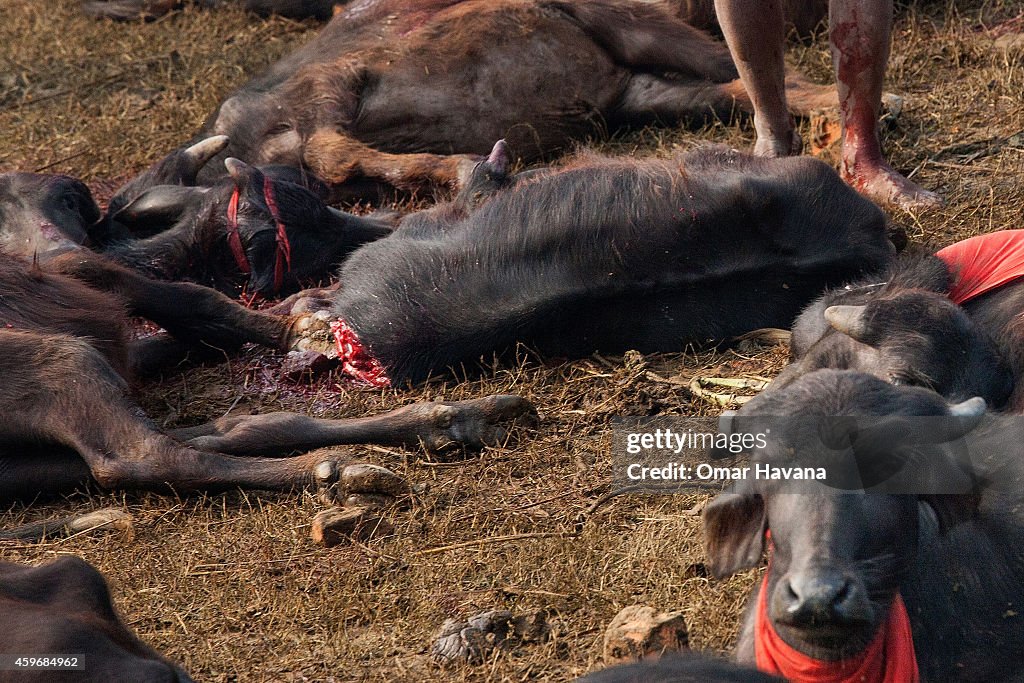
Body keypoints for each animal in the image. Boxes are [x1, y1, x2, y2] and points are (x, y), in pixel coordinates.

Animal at [2, 249, 536, 501]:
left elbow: (195, 303)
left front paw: (304, 323)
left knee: (234, 427)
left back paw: (459, 419)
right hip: (59, 357)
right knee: (141, 455)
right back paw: (333, 469)